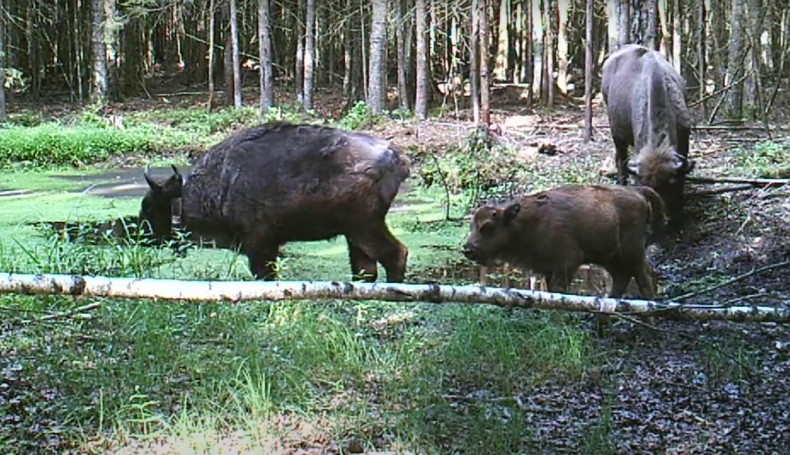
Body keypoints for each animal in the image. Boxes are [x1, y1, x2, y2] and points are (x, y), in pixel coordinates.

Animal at [142, 123, 412, 284]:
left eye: (151, 207)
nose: (142, 238)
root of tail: (395, 157)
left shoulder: (259, 244)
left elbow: (265, 274)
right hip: (354, 234)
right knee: (366, 268)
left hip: (364, 227)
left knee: (395, 254)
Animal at [464, 185, 668, 302]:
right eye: (471, 225)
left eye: (487, 226)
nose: (467, 249)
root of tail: (638, 193)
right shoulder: (547, 268)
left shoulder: (567, 264)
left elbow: (559, 292)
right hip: (611, 259)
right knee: (621, 280)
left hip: (633, 254)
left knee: (644, 281)